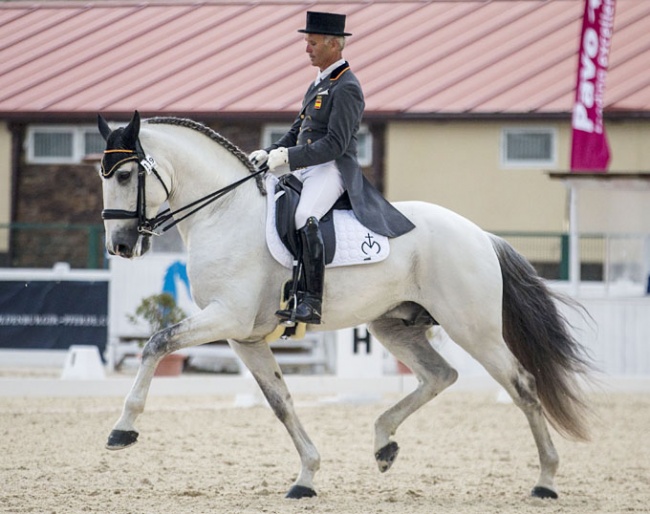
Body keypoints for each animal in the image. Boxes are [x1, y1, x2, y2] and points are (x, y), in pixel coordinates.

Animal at [97, 110, 592, 498]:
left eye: (124, 176)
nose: (119, 245)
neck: (224, 212)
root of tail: (480, 234)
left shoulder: (226, 317)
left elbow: (157, 343)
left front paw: (123, 428)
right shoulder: (244, 337)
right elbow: (280, 401)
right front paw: (306, 476)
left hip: (474, 329)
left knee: (522, 386)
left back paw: (546, 481)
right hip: (394, 326)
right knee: (441, 375)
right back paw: (383, 443)